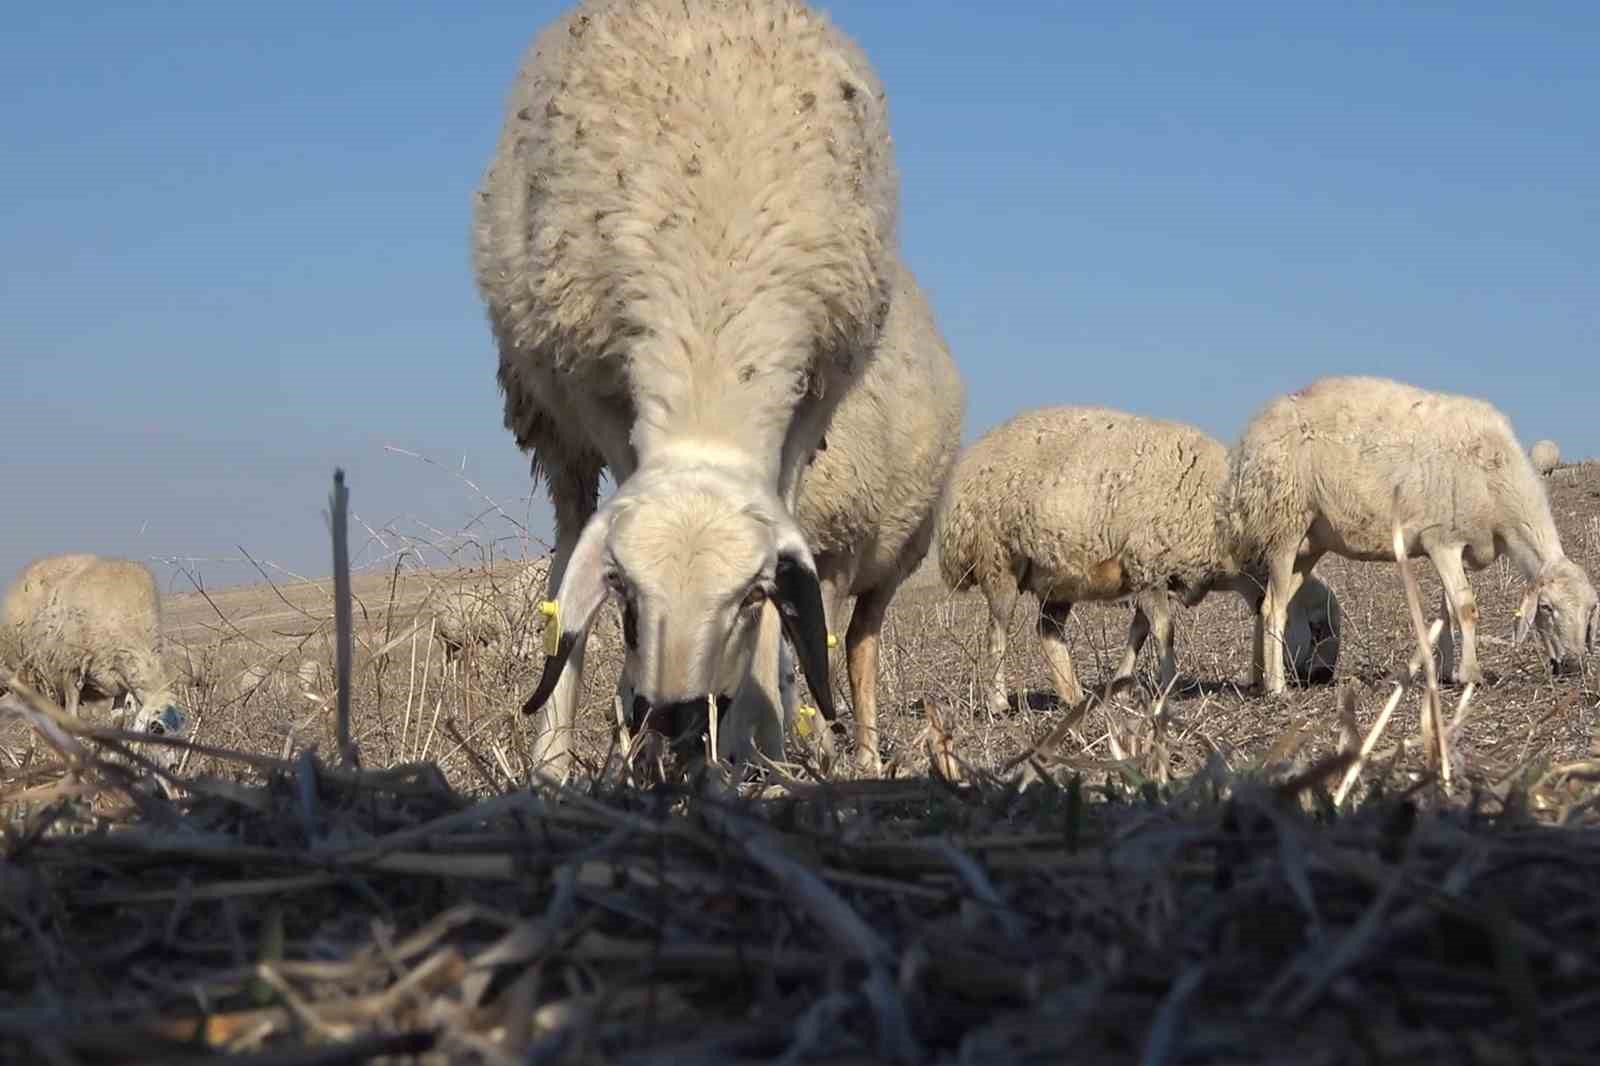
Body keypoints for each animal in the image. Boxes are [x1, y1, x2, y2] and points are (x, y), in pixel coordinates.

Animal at [0, 550, 188, 742]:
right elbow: (73, 718)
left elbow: (118, 720)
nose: (174, 756)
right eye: (156, 728)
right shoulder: (71, 671)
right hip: (27, 674)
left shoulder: (119, 681)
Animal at [470, 0, 902, 768]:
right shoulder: (595, 397)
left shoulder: (812, 404)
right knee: (569, 539)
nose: (671, 717)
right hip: (550, 417)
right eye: (627, 597)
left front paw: (759, 734)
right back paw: (556, 754)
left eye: (751, 599)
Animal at [934, 406, 1337, 713]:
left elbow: (1139, 633)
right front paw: (1169, 687)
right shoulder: (1149, 567)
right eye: (1317, 627)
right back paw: (999, 702)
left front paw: (1121, 686)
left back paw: (1073, 696)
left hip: (1059, 577)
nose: (1324, 678)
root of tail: (973, 456)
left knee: (1048, 632)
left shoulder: (1150, 575)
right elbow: (1163, 631)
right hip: (996, 561)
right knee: (996, 633)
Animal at [1228, 371, 1593, 688]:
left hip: (1310, 544)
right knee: (1274, 608)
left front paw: (1444, 673)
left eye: (1591, 611)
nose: (1574, 667)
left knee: (1272, 605)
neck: (1496, 478)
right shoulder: (1442, 540)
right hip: (1283, 526)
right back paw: (1276, 687)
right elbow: (1465, 607)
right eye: (1546, 608)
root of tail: (1250, 438)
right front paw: (1471, 674)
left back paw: (1264, 679)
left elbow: (1447, 610)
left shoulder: (1457, 545)